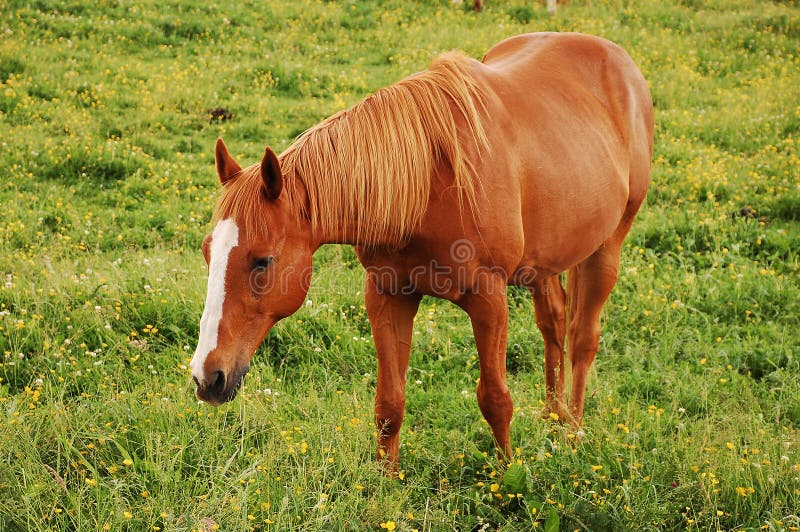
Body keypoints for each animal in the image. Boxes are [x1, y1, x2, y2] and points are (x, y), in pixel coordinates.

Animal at [191, 32, 652, 470]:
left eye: (262, 261)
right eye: (207, 253)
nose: (205, 377)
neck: (429, 181)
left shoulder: (489, 299)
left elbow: (495, 399)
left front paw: (509, 478)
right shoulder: (387, 295)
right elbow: (389, 404)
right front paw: (385, 483)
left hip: (608, 246)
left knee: (582, 338)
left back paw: (572, 432)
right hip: (546, 259)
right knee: (554, 323)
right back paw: (553, 419)